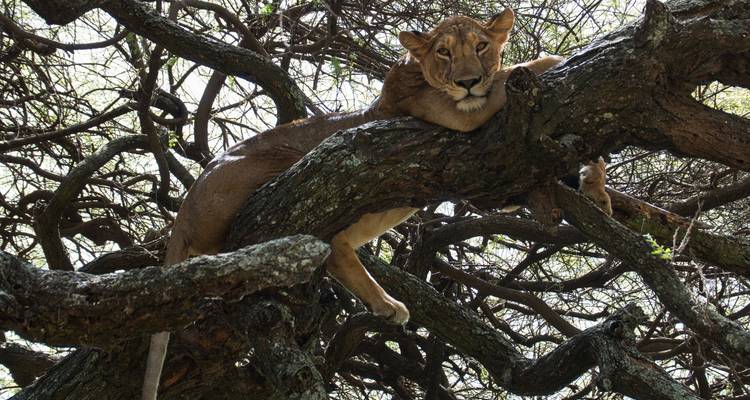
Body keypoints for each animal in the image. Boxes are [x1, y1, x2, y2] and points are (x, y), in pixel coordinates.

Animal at [142, 9, 579, 400]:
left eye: (481, 45)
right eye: (444, 52)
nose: (468, 80)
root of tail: (183, 211)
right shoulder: (454, 113)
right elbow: (506, 79)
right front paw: (554, 61)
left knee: (335, 251)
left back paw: (386, 304)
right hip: (284, 160)